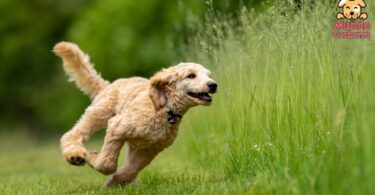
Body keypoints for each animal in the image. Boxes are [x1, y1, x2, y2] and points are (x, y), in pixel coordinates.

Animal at [53, 42, 217, 187]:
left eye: (209, 75)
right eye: (191, 75)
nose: (213, 84)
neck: (165, 110)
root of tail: (109, 85)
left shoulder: (150, 149)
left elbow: (130, 169)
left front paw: (115, 182)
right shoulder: (117, 127)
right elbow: (107, 163)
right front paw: (93, 158)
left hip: (133, 143)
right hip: (99, 113)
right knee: (72, 134)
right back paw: (75, 155)